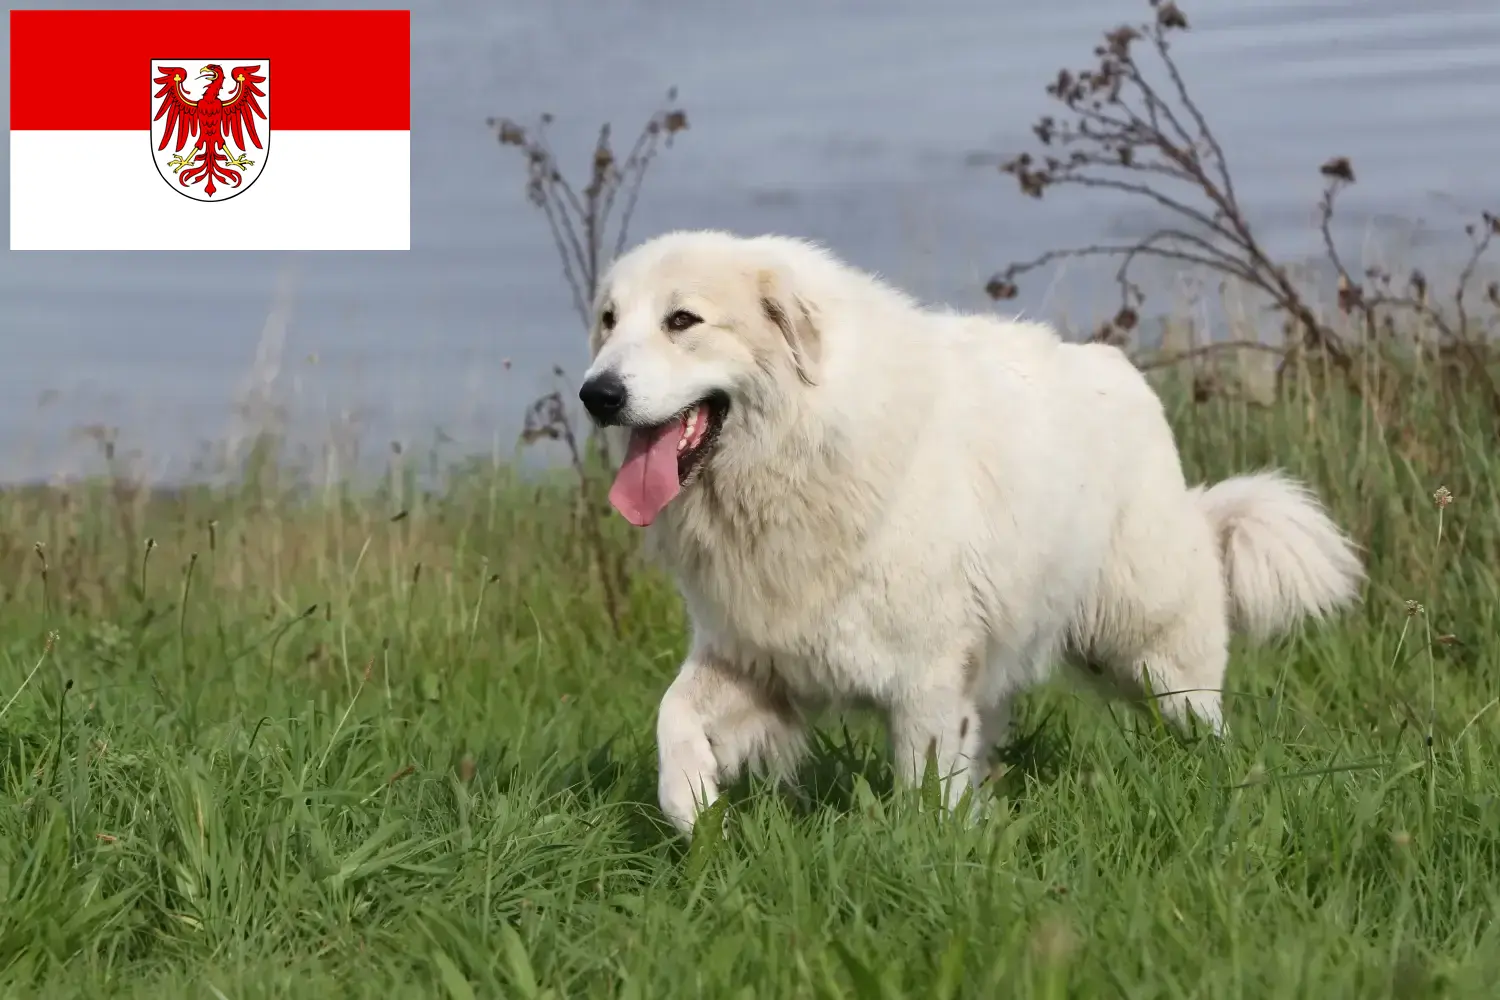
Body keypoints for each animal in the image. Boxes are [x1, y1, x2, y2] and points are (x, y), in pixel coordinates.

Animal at [576, 229, 1374, 839]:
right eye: (609, 320)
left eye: (683, 321)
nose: (596, 395)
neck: (802, 450)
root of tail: (1123, 372)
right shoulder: (758, 657)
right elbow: (673, 712)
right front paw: (692, 803)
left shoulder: (925, 679)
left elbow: (924, 787)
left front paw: (926, 857)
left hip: (1147, 648)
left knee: (1200, 716)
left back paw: (1218, 780)